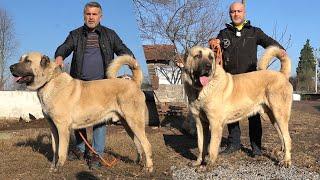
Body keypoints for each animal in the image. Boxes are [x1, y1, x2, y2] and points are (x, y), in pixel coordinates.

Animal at [9, 53, 154, 173]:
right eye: (20, 59)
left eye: (27, 61)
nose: (10, 67)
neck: (49, 81)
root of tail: (134, 83)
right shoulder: (53, 128)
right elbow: (55, 149)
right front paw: (52, 167)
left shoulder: (62, 128)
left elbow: (61, 151)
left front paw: (59, 168)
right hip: (128, 124)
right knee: (138, 144)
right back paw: (138, 162)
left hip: (134, 122)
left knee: (147, 144)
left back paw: (149, 168)